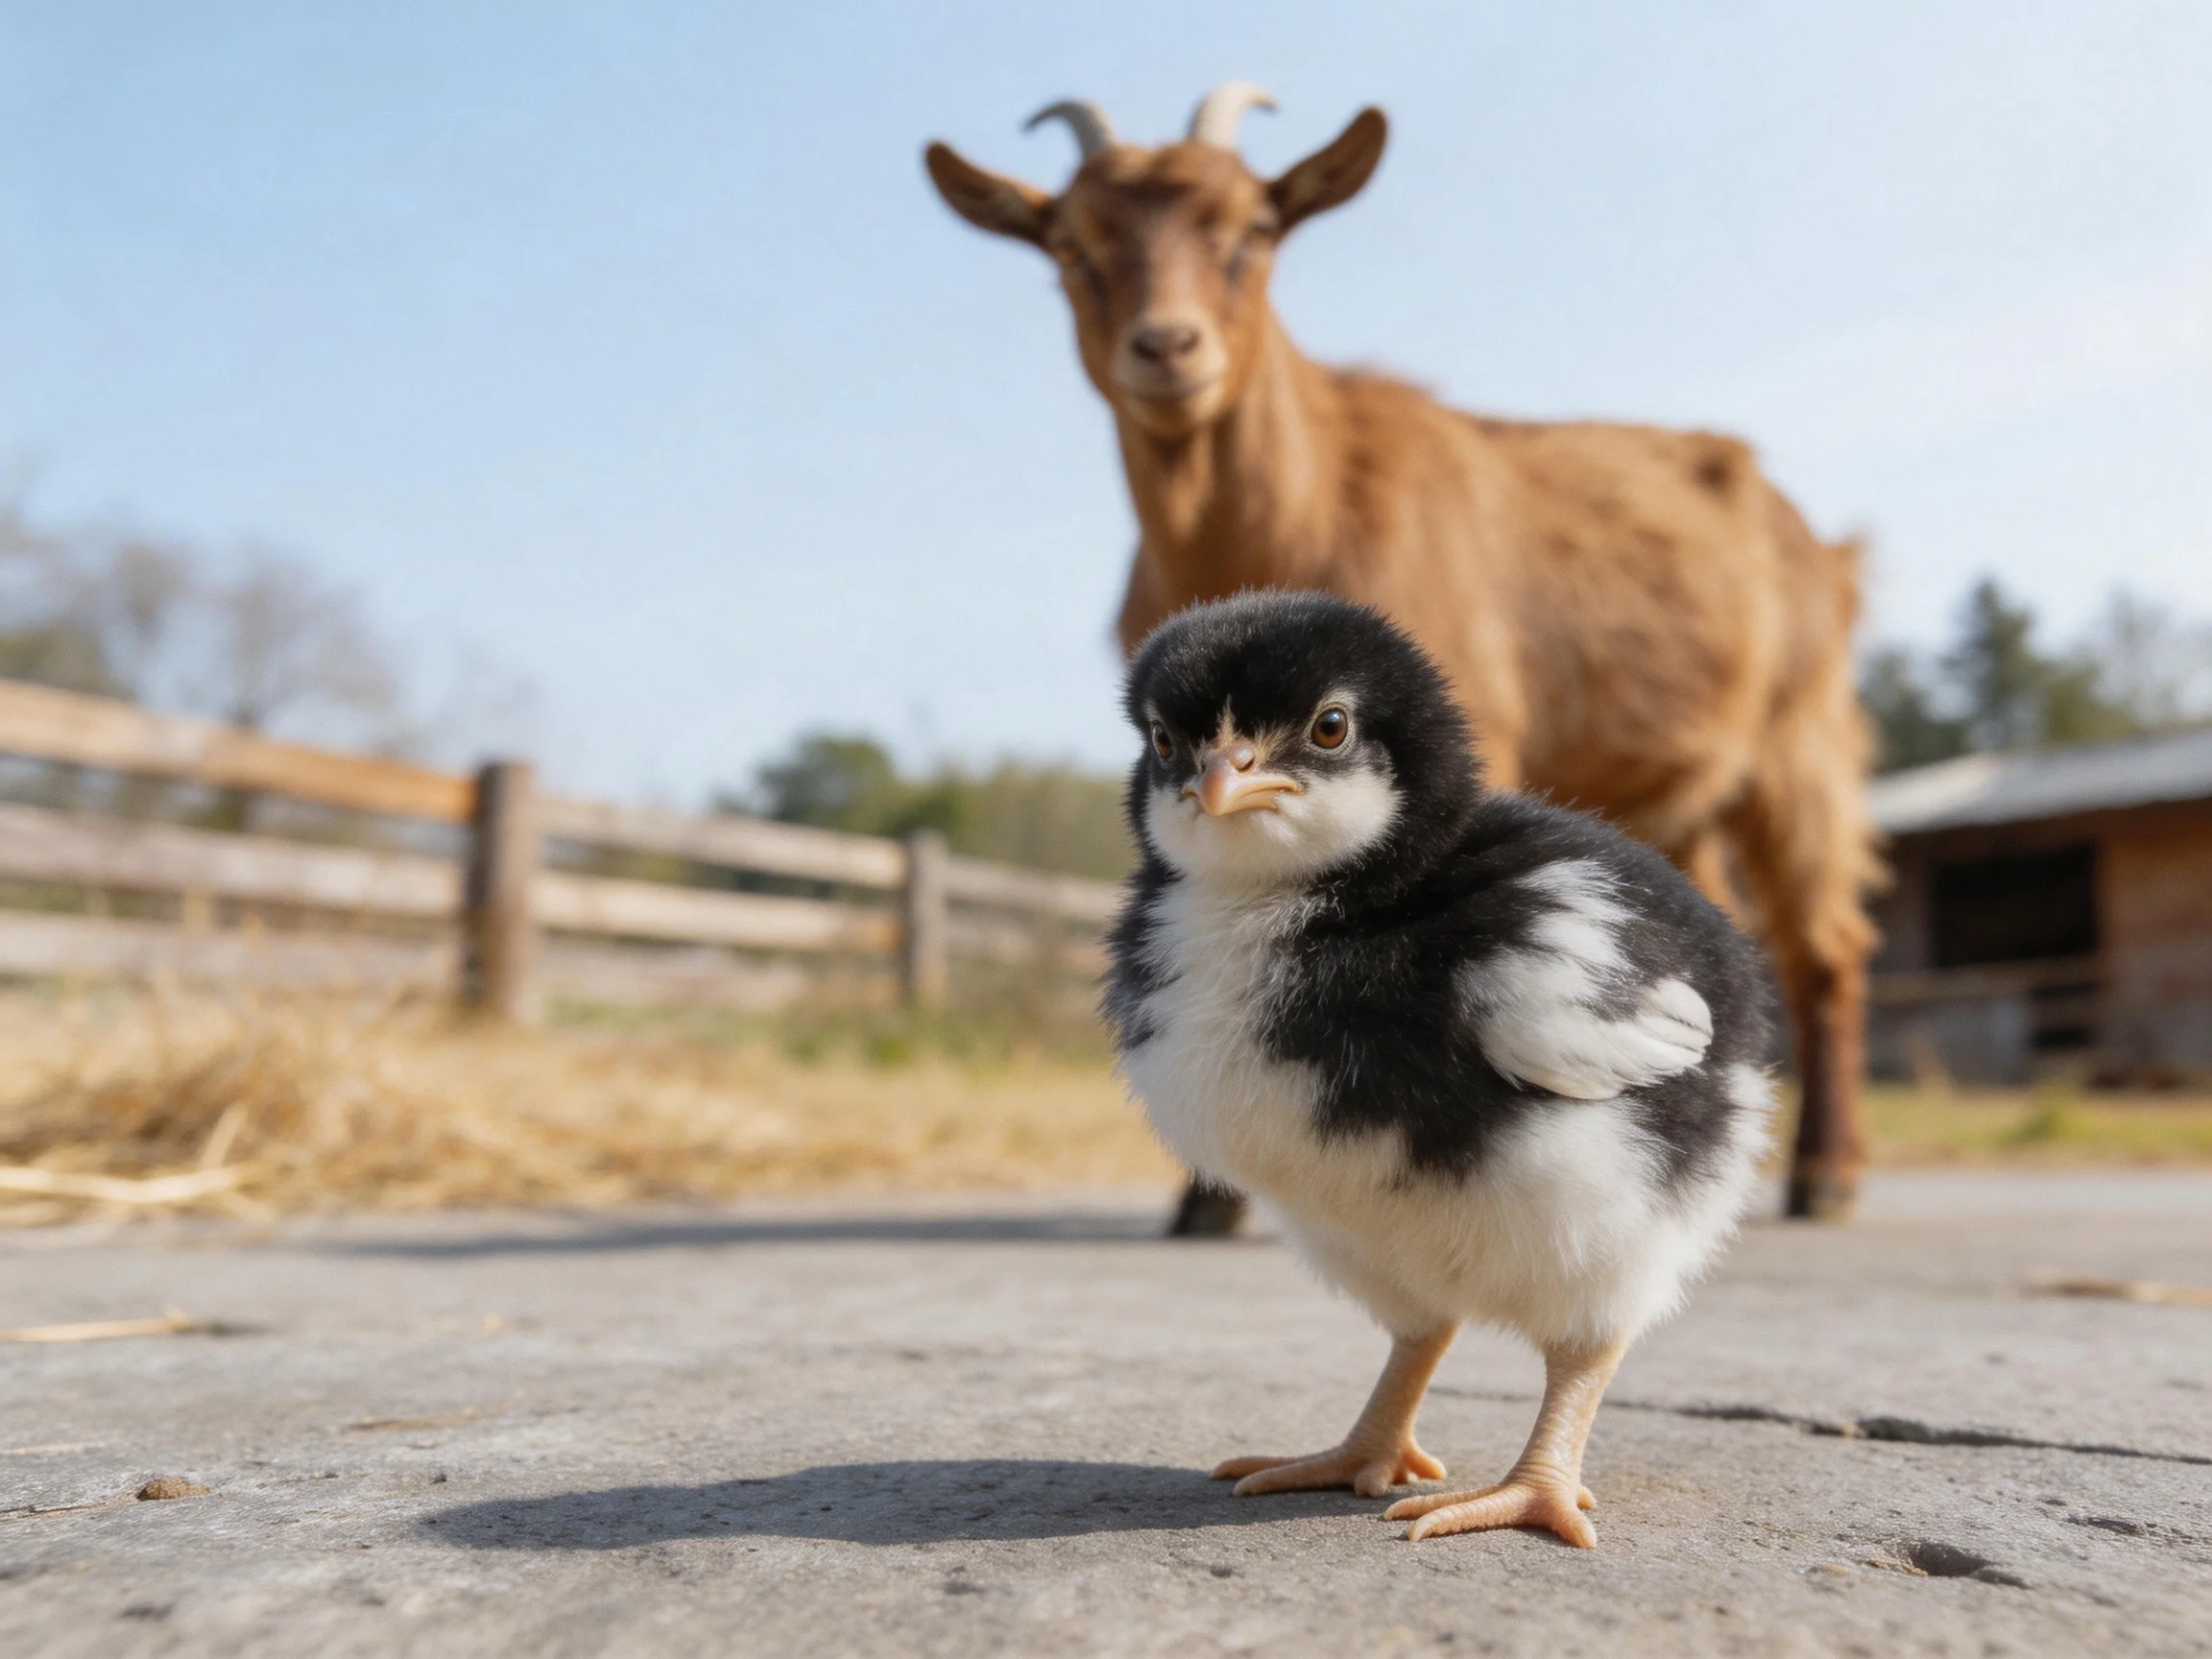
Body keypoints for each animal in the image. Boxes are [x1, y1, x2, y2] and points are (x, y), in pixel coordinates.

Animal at [925, 86, 1879, 1220]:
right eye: (1069, 246)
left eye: (1254, 230)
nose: (1167, 350)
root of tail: (1822, 543)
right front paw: (1206, 1201)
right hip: (1669, 795)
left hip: (1800, 741)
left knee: (1824, 950)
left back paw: (1824, 1176)